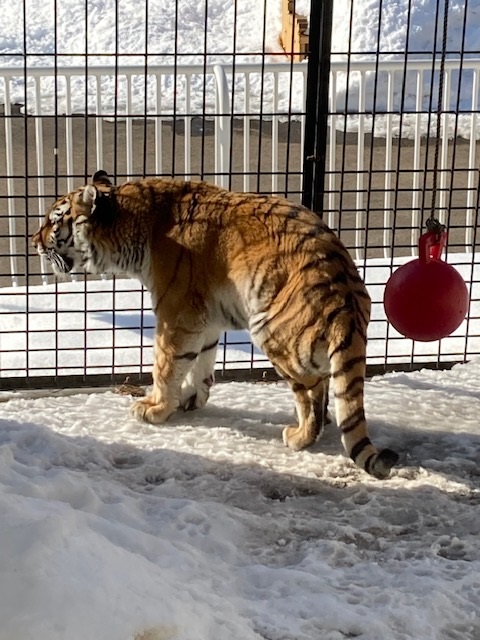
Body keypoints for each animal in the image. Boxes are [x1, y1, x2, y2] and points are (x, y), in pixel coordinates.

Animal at [32, 171, 398, 480]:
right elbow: (201, 361)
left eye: (54, 220)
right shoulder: (204, 315)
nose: (33, 240)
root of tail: (347, 299)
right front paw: (191, 399)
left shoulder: (175, 312)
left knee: (311, 388)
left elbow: (165, 364)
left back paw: (300, 436)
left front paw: (155, 408)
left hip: (268, 329)